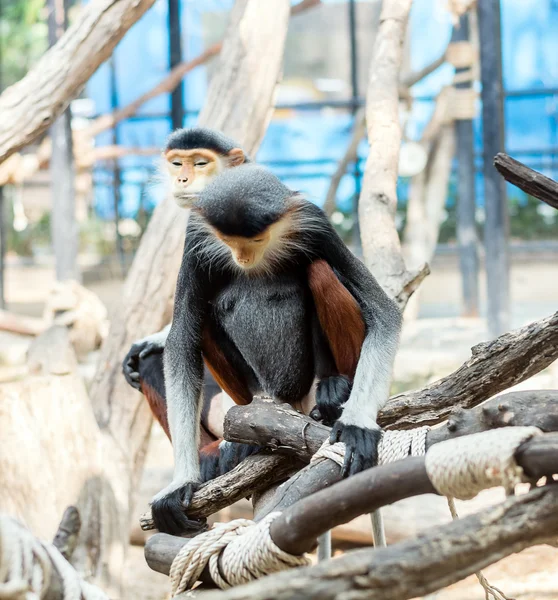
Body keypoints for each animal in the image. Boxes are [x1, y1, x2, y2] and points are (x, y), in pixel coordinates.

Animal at [151, 163, 400, 536]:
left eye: (255, 240)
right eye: (228, 241)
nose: (241, 256)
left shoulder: (314, 222)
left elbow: (386, 314)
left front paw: (357, 425)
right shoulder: (196, 240)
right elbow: (181, 341)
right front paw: (181, 482)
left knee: (318, 269)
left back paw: (333, 386)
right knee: (204, 316)